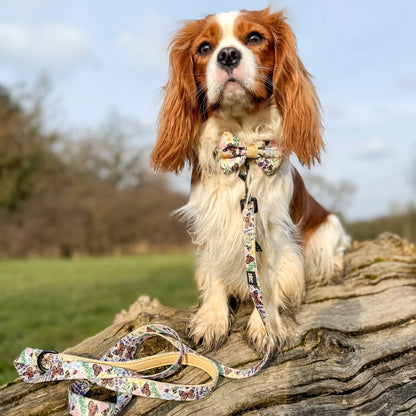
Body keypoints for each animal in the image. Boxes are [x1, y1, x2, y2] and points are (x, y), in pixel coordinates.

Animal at [150, 8, 352, 354]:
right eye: (204, 48)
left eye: (255, 38)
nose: (228, 55)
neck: (243, 143)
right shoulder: (214, 223)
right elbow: (215, 272)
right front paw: (212, 319)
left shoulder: (271, 231)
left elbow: (267, 283)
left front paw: (265, 324)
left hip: (328, 225)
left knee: (333, 251)